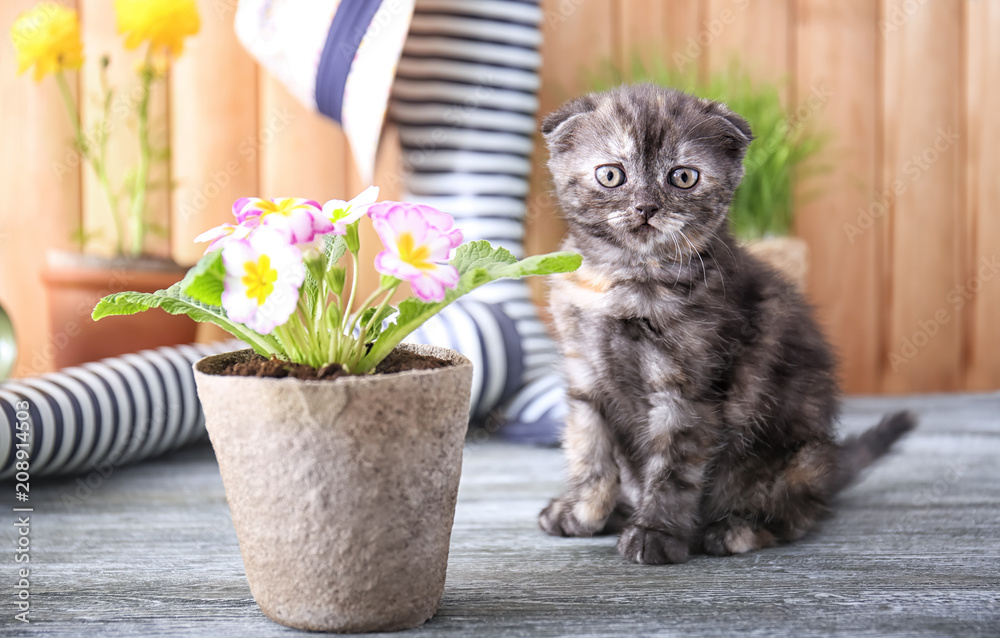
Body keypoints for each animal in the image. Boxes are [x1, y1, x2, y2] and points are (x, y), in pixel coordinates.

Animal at [540, 84, 916, 564]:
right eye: (611, 175)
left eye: (683, 177)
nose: (646, 207)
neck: (627, 278)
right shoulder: (585, 379)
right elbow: (590, 453)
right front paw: (583, 513)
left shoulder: (690, 391)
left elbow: (674, 468)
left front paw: (655, 532)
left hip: (801, 460)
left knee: (799, 512)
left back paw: (736, 528)